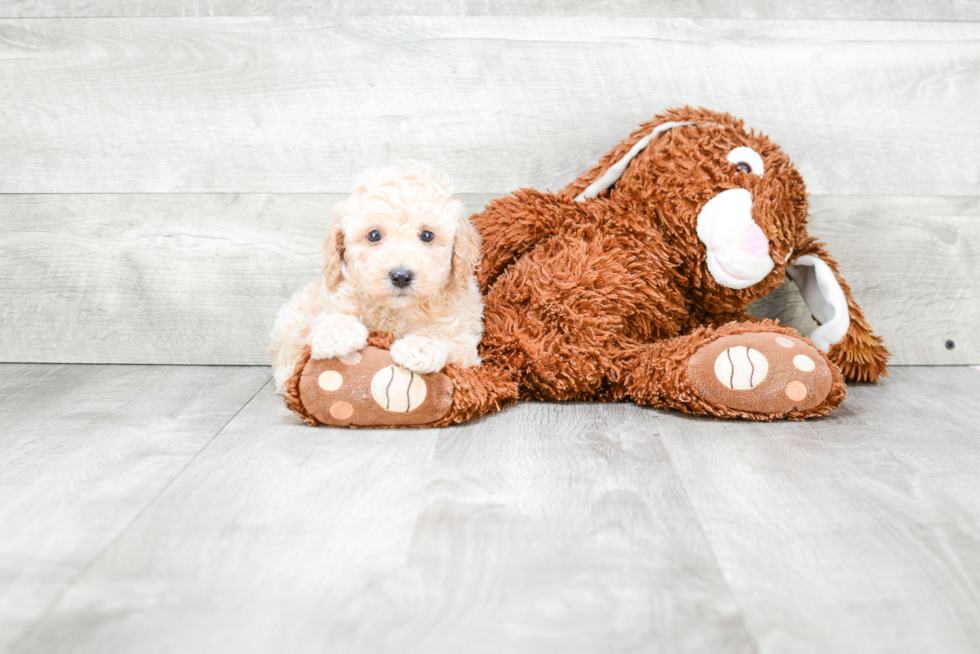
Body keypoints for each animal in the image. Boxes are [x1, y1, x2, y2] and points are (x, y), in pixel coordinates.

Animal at [270, 163, 484, 394]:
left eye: (427, 235)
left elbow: (441, 335)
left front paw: (418, 348)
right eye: (374, 235)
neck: (395, 312)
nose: (401, 276)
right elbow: (330, 318)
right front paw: (336, 334)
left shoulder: (465, 346)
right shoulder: (333, 301)